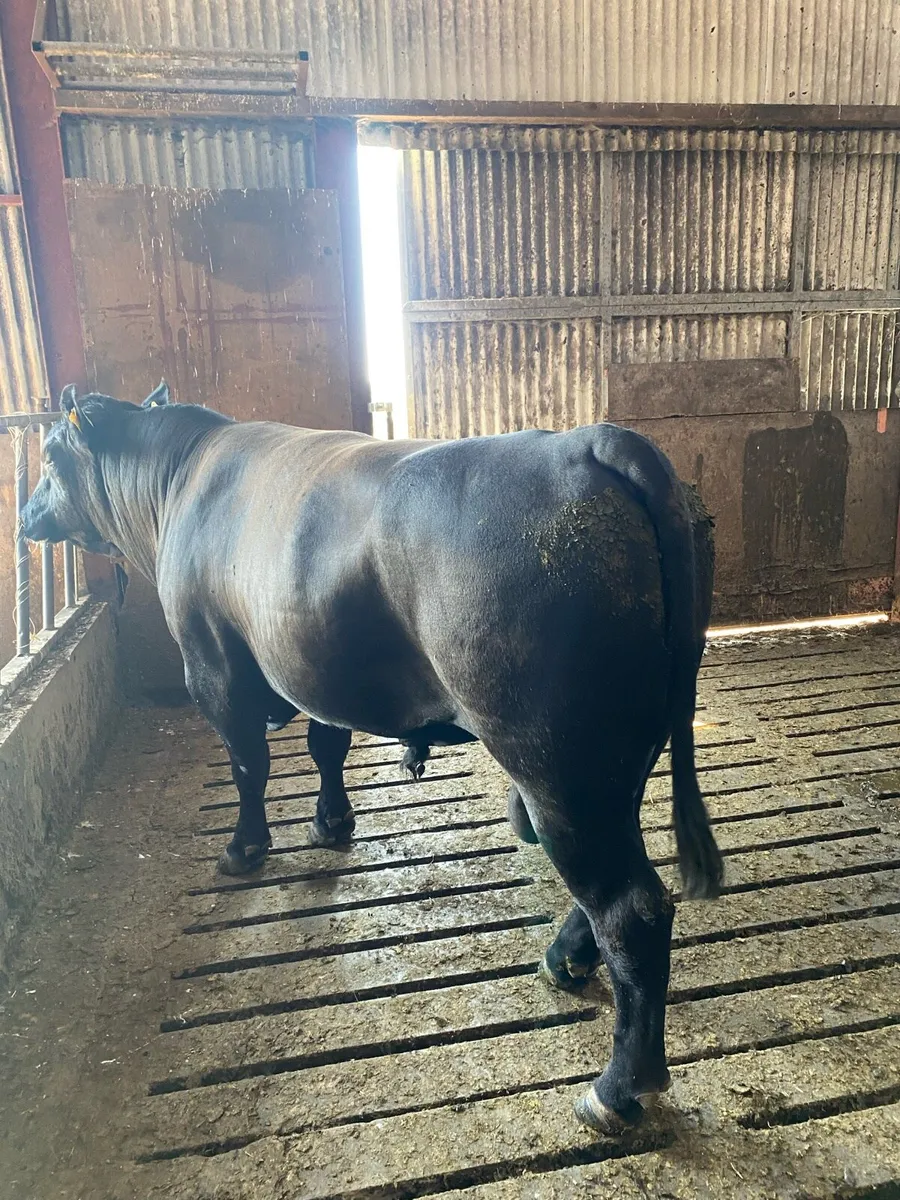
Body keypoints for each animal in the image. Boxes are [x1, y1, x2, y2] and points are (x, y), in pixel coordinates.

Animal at [22, 383, 723, 1136]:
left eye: (50, 456)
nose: (26, 517)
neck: (179, 479)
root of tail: (593, 439)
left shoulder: (213, 665)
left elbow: (248, 764)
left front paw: (245, 849)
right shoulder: (312, 666)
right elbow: (325, 745)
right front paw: (331, 822)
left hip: (556, 760)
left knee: (629, 908)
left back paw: (616, 1089)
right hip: (618, 751)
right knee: (610, 887)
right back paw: (563, 962)